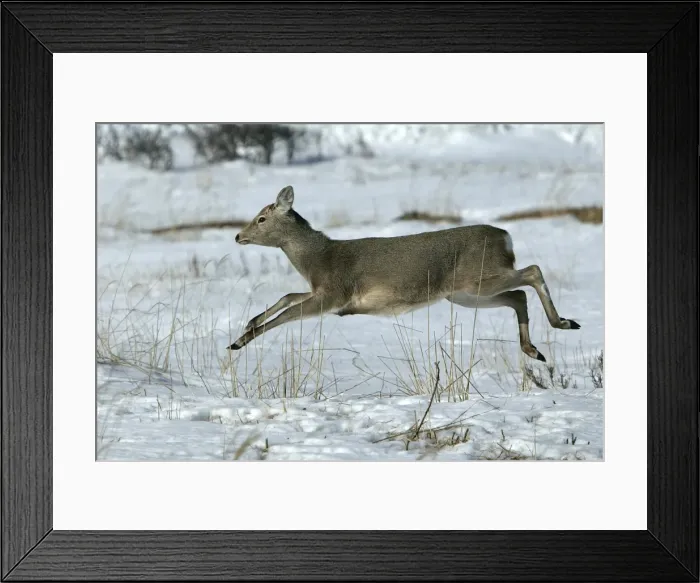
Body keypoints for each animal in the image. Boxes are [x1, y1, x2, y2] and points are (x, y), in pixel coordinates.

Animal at [227, 186, 580, 362]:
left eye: (261, 219)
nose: (238, 236)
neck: (318, 259)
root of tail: (505, 237)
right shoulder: (322, 292)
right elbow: (288, 296)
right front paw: (249, 323)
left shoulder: (335, 294)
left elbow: (287, 315)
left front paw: (240, 342)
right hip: (465, 294)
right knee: (517, 295)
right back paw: (534, 350)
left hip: (477, 279)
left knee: (532, 272)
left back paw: (563, 323)